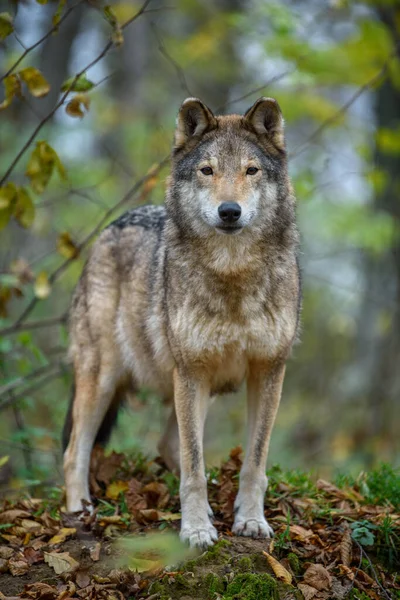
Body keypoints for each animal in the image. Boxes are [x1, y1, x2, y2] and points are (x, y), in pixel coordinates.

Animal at [62, 95, 300, 548]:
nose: (230, 211)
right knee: (74, 452)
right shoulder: (192, 370)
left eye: (251, 170)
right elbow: (193, 464)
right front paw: (195, 530)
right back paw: (79, 512)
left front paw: (250, 520)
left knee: (167, 444)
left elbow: (254, 462)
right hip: (106, 377)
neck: (232, 276)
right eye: (207, 170)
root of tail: (109, 229)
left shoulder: (269, 370)